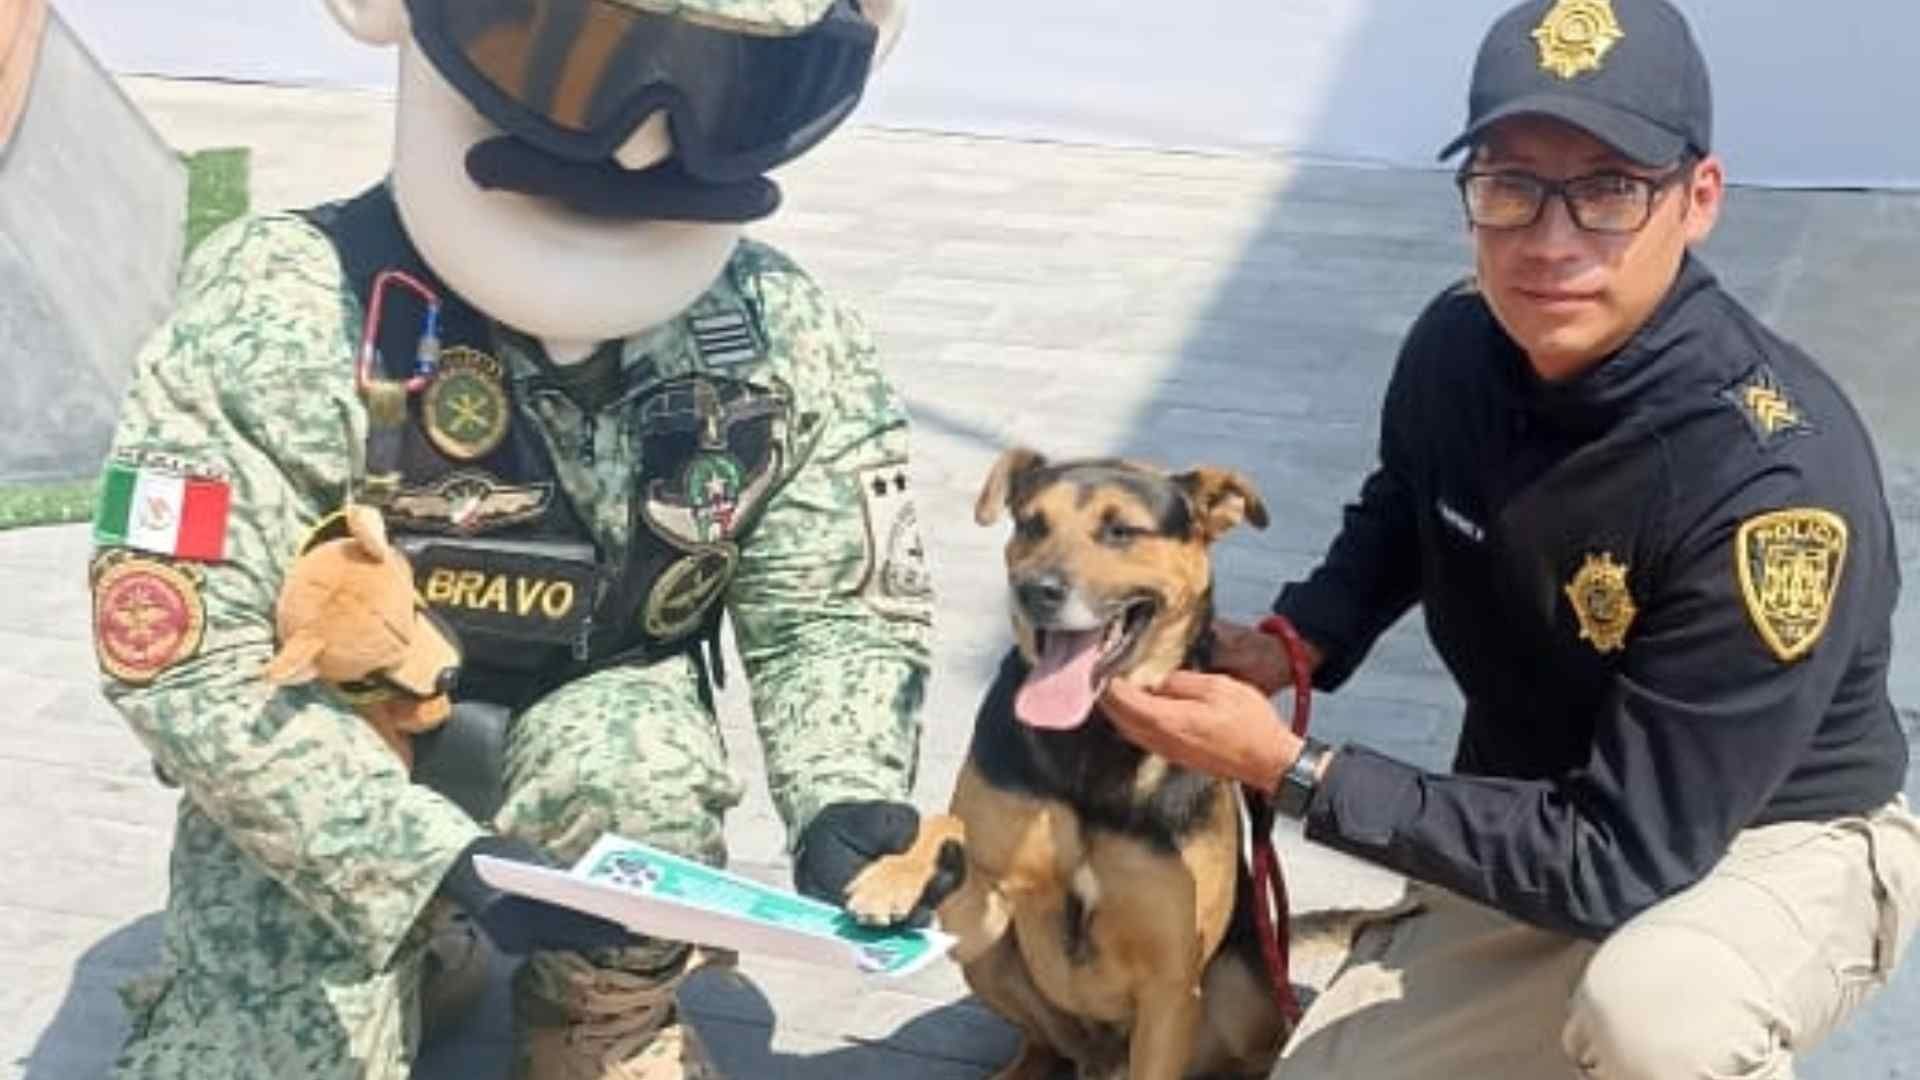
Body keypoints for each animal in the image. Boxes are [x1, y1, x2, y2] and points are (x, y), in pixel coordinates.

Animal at [844, 445, 1282, 1076]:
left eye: (1121, 530)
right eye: (1031, 523)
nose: (1034, 590)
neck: (1091, 741)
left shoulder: (1172, 986)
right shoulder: (981, 913)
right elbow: (949, 822)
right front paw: (896, 874)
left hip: (1245, 993)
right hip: (992, 962)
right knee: (1044, 1043)